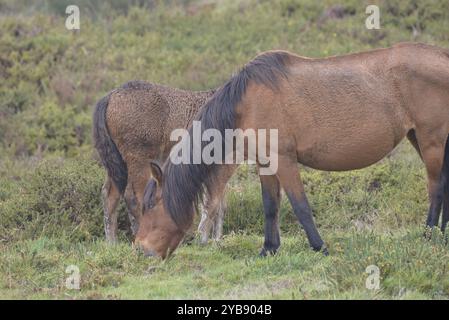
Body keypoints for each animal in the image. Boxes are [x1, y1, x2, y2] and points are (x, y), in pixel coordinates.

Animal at [91, 80, 226, 242]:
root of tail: (110, 96)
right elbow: (215, 203)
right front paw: (213, 239)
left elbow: (218, 203)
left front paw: (216, 240)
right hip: (139, 161)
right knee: (132, 196)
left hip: (117, 166)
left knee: (109, 196)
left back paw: (112, 243)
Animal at [133, 42, 448, 258]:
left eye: (150, 205)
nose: (140, 249)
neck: (246, 103)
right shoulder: (265, 163)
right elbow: (270, 206)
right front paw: (269, 249)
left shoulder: (283, 160)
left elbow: (300, 206)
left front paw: (320, 247)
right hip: (420, 139)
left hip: (431, 140)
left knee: (435, 188)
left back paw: (429, 234)